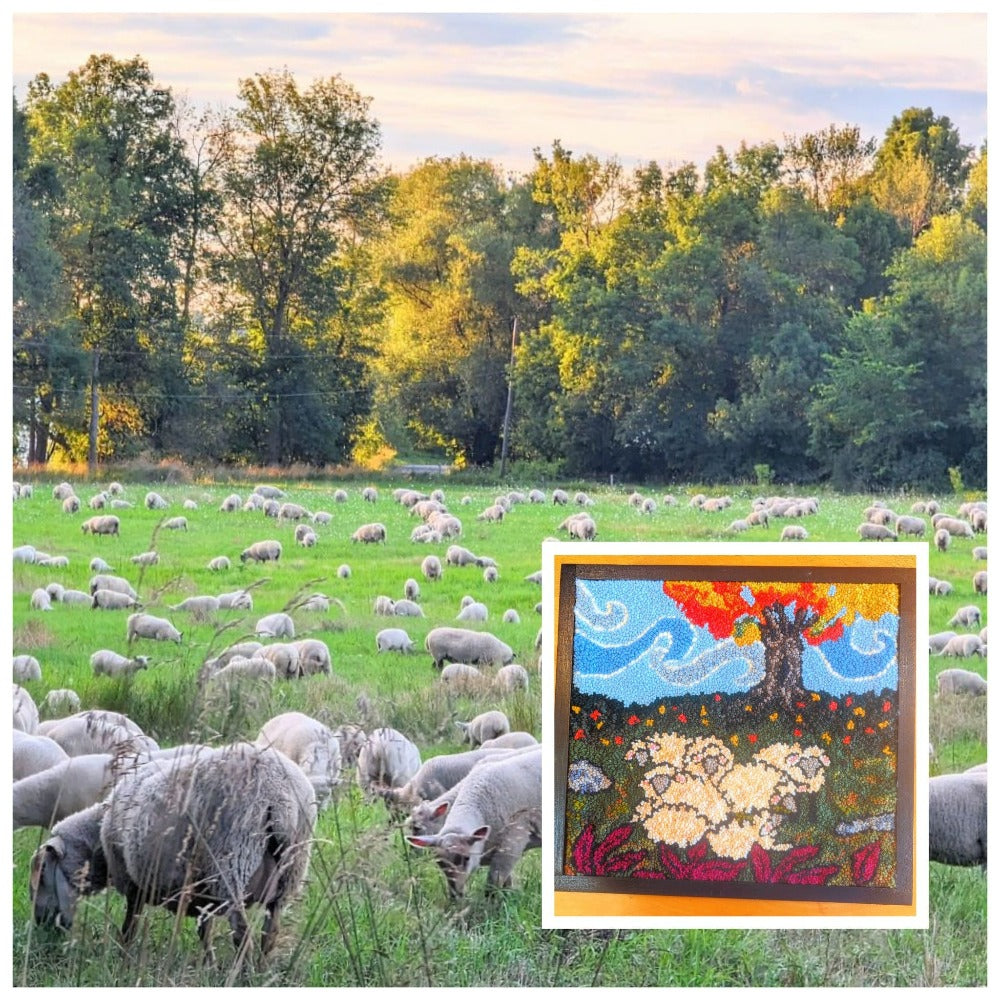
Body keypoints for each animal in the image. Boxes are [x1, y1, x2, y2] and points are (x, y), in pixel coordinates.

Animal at [406, 744, 544, 900]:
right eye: (440, 864)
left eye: (466, 858)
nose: (456, 895)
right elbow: (506, 883)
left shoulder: (511, 843)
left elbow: (493, 884)